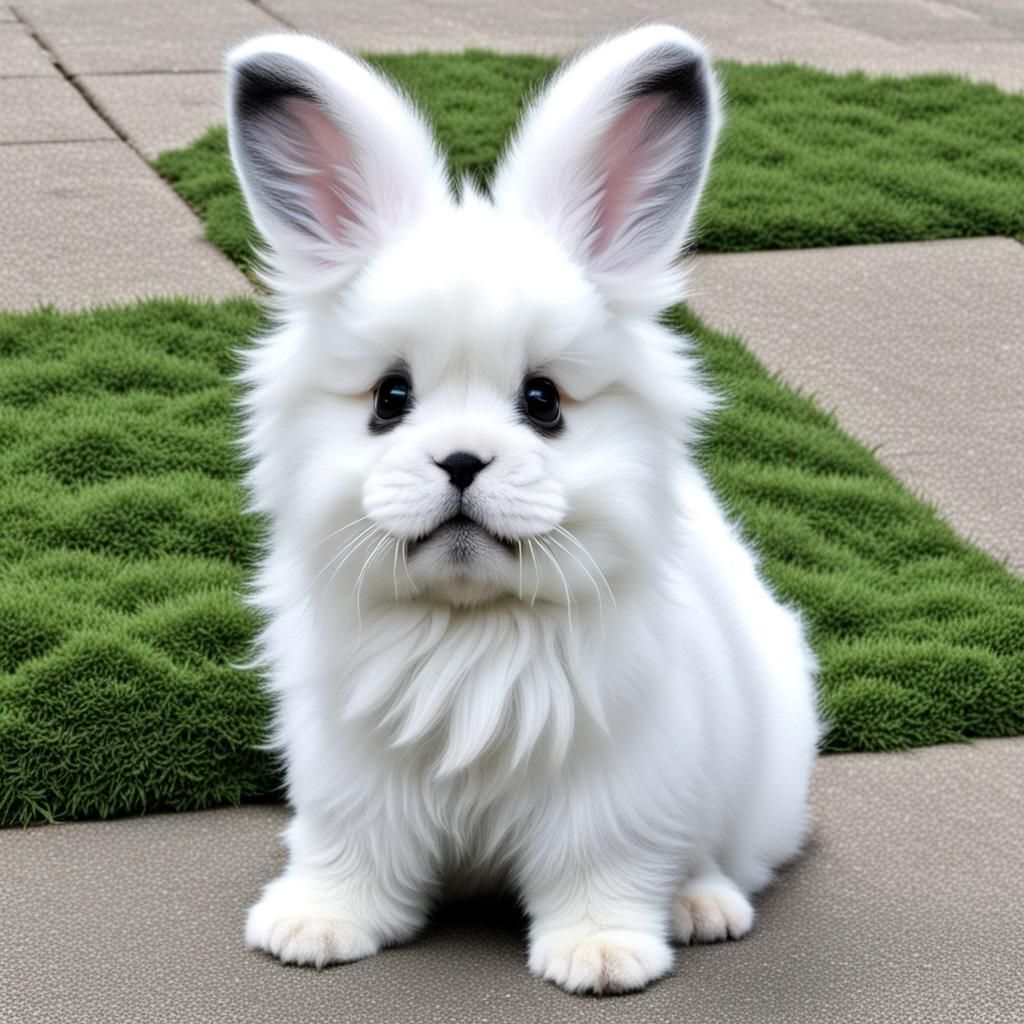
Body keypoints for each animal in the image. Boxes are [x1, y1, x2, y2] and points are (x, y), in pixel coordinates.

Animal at [227, 25, 821, 995]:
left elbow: (601, 865)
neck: (474, 625)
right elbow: (353, 854)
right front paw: (311, 930)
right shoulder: (354, 779)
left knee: (716, 858)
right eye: (390, 398)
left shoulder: (616, 787)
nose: (462, 461)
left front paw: (602, 958)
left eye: (543, 401)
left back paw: (703, 910)